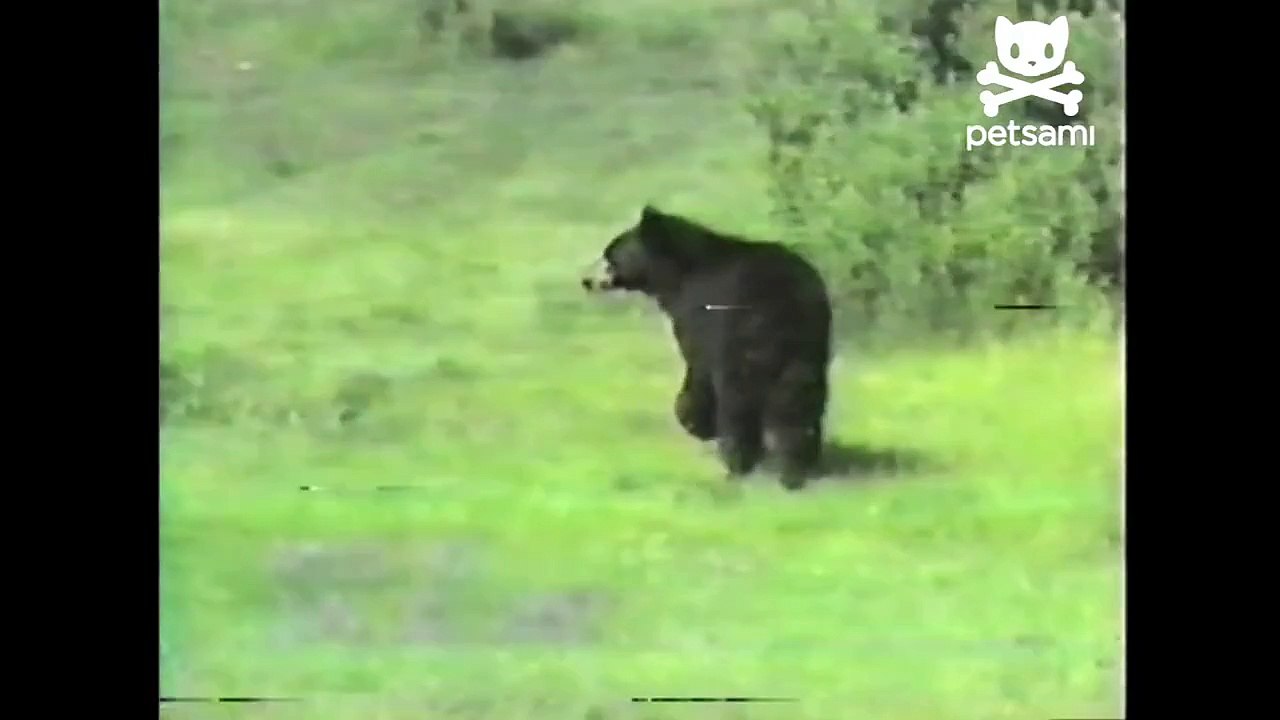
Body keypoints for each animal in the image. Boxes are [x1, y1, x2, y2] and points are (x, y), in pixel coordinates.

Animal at [581, 204, 833, 490]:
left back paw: (737, 463)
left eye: (610, 255)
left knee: (738, 402)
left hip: (744, 345)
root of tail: (788, 303)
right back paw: (795, 468)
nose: (586, 280)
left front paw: (695, 421)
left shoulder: (701, 320)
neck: (679, 275)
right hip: (806, 354)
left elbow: (698, 370)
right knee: (797, 404)